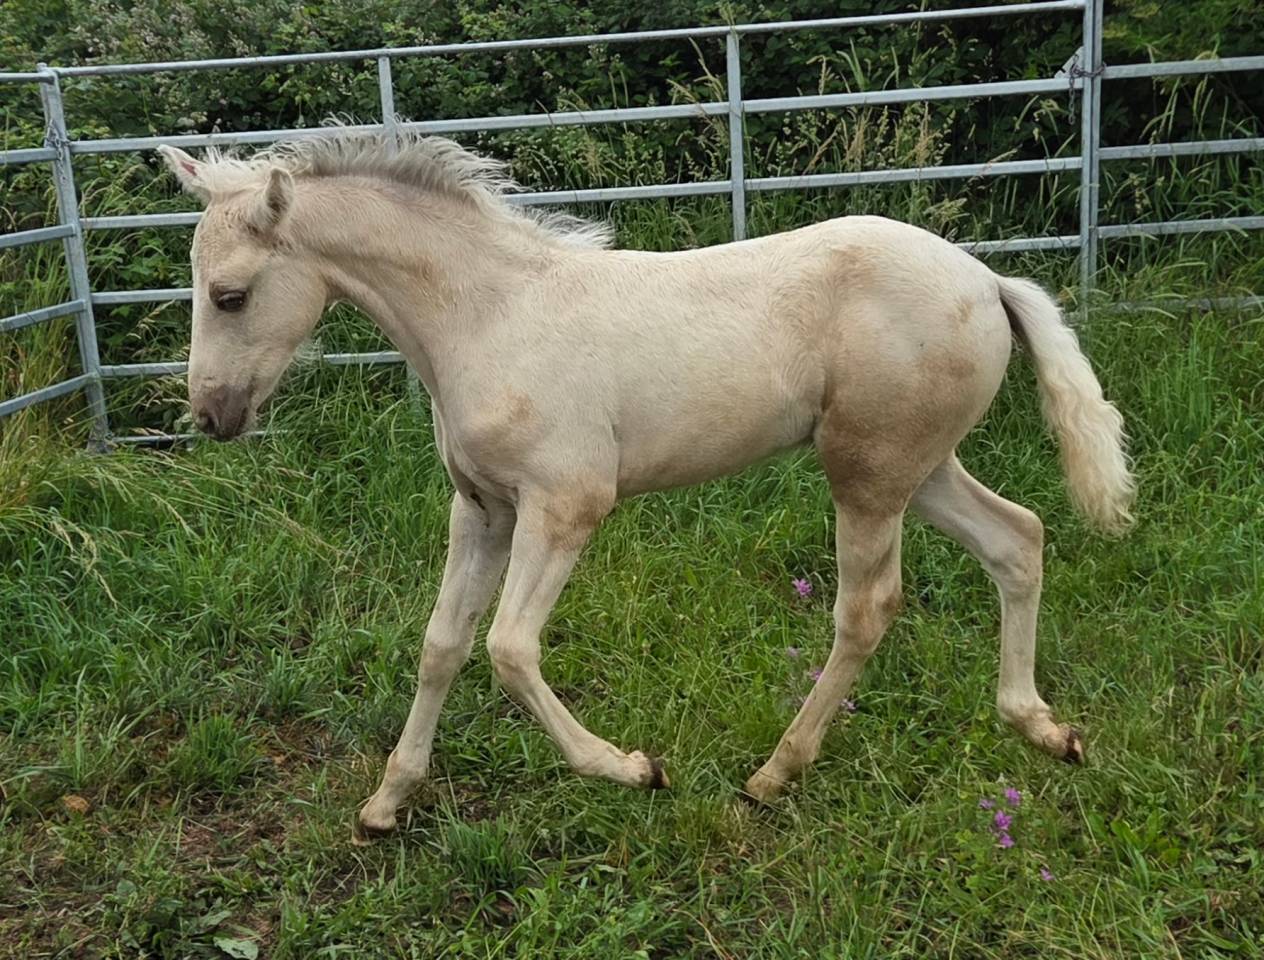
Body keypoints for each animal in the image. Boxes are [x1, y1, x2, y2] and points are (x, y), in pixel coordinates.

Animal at [158, 130, 1134, 842]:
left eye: (231, 294)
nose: (209, 415)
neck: (490, 316)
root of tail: (988, 278)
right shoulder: (482, 510)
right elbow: (441, 644)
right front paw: (388, 803)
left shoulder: (564, 507)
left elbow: (509, 650)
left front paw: (631, 769)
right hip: (915, 467)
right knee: (1019, 537)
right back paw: (1041, 726)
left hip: (868, 472)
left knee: (867, 609)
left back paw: (773, 775)